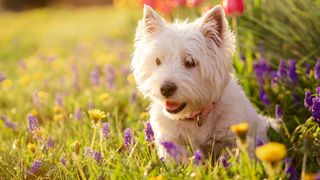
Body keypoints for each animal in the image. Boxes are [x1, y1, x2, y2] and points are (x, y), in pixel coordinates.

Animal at [132, 4, 270, 162]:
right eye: (158, 61)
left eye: (190, 62)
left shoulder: (231, 138)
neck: (195, 117)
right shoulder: (172, 141)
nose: (165, 89)